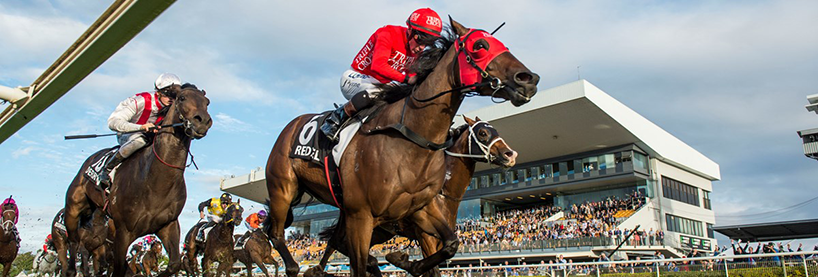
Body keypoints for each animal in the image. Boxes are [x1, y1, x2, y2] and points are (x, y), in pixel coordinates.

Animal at [65, 83, 212, 276]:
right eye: (182, 98)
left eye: (207, 102)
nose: (203, 121)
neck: (156, 182)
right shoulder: (123, 232)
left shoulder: (168, 224)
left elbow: (173, 264)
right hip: (74, 209)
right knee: (73, 242)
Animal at [306, 115, 516, 276]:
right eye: (483, 133)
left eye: (496, 131)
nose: (510, 154)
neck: (443, 193)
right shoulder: (425, 236)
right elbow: (433, 270)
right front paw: (402, 261)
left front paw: (400, 260)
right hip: (355, 220)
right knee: (334, 243)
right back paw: (317, 270)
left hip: (379, 231)